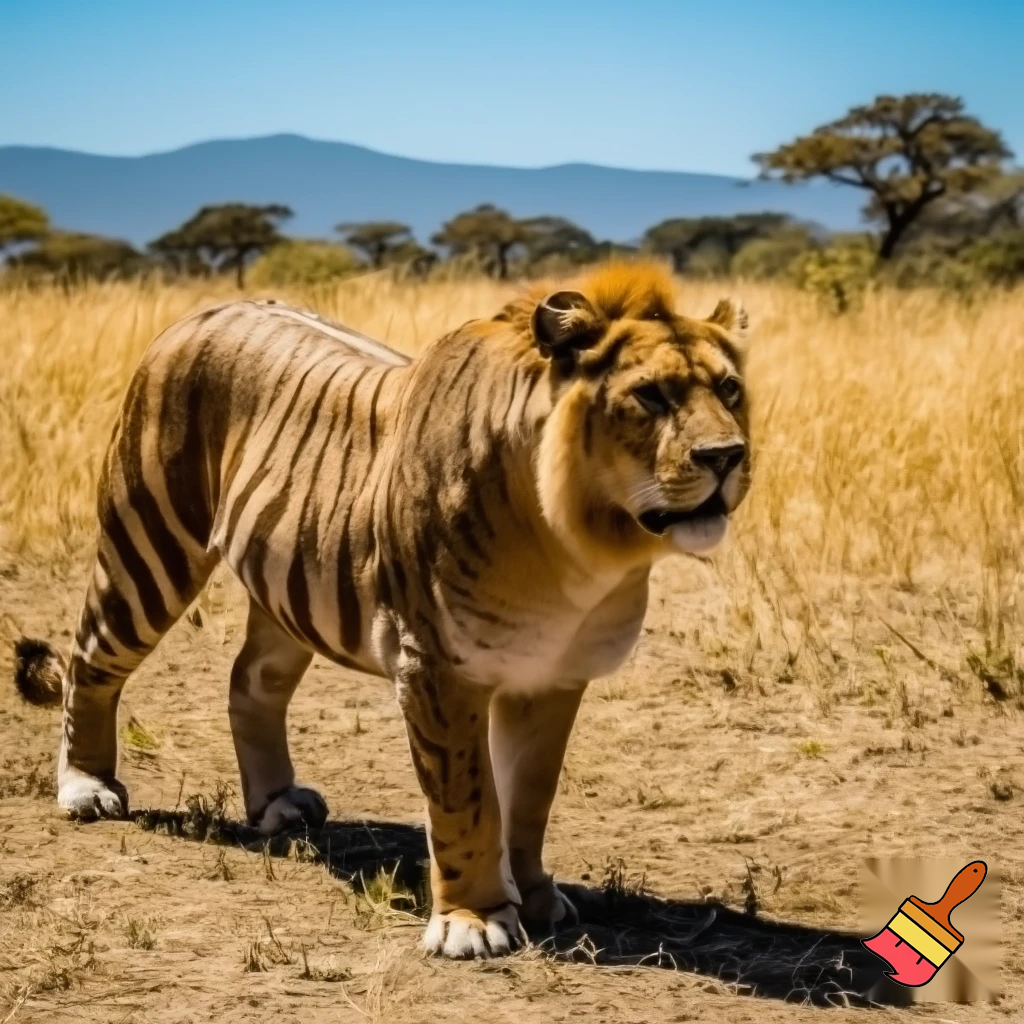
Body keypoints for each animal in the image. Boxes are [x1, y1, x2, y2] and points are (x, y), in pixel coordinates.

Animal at [13, 261, 752, 959]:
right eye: (650, 395)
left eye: (729, 390)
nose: (727, 456)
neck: (584, 548)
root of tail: (205, 310)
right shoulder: (435, 668)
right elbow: (464, 802)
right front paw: (474, 921)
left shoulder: (553, 676)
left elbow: (528, 797)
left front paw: (536, 897)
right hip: (149, 544)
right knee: (90, 660)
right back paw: (86, 787)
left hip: (288, 587)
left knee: (250, 681)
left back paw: (278, 804)